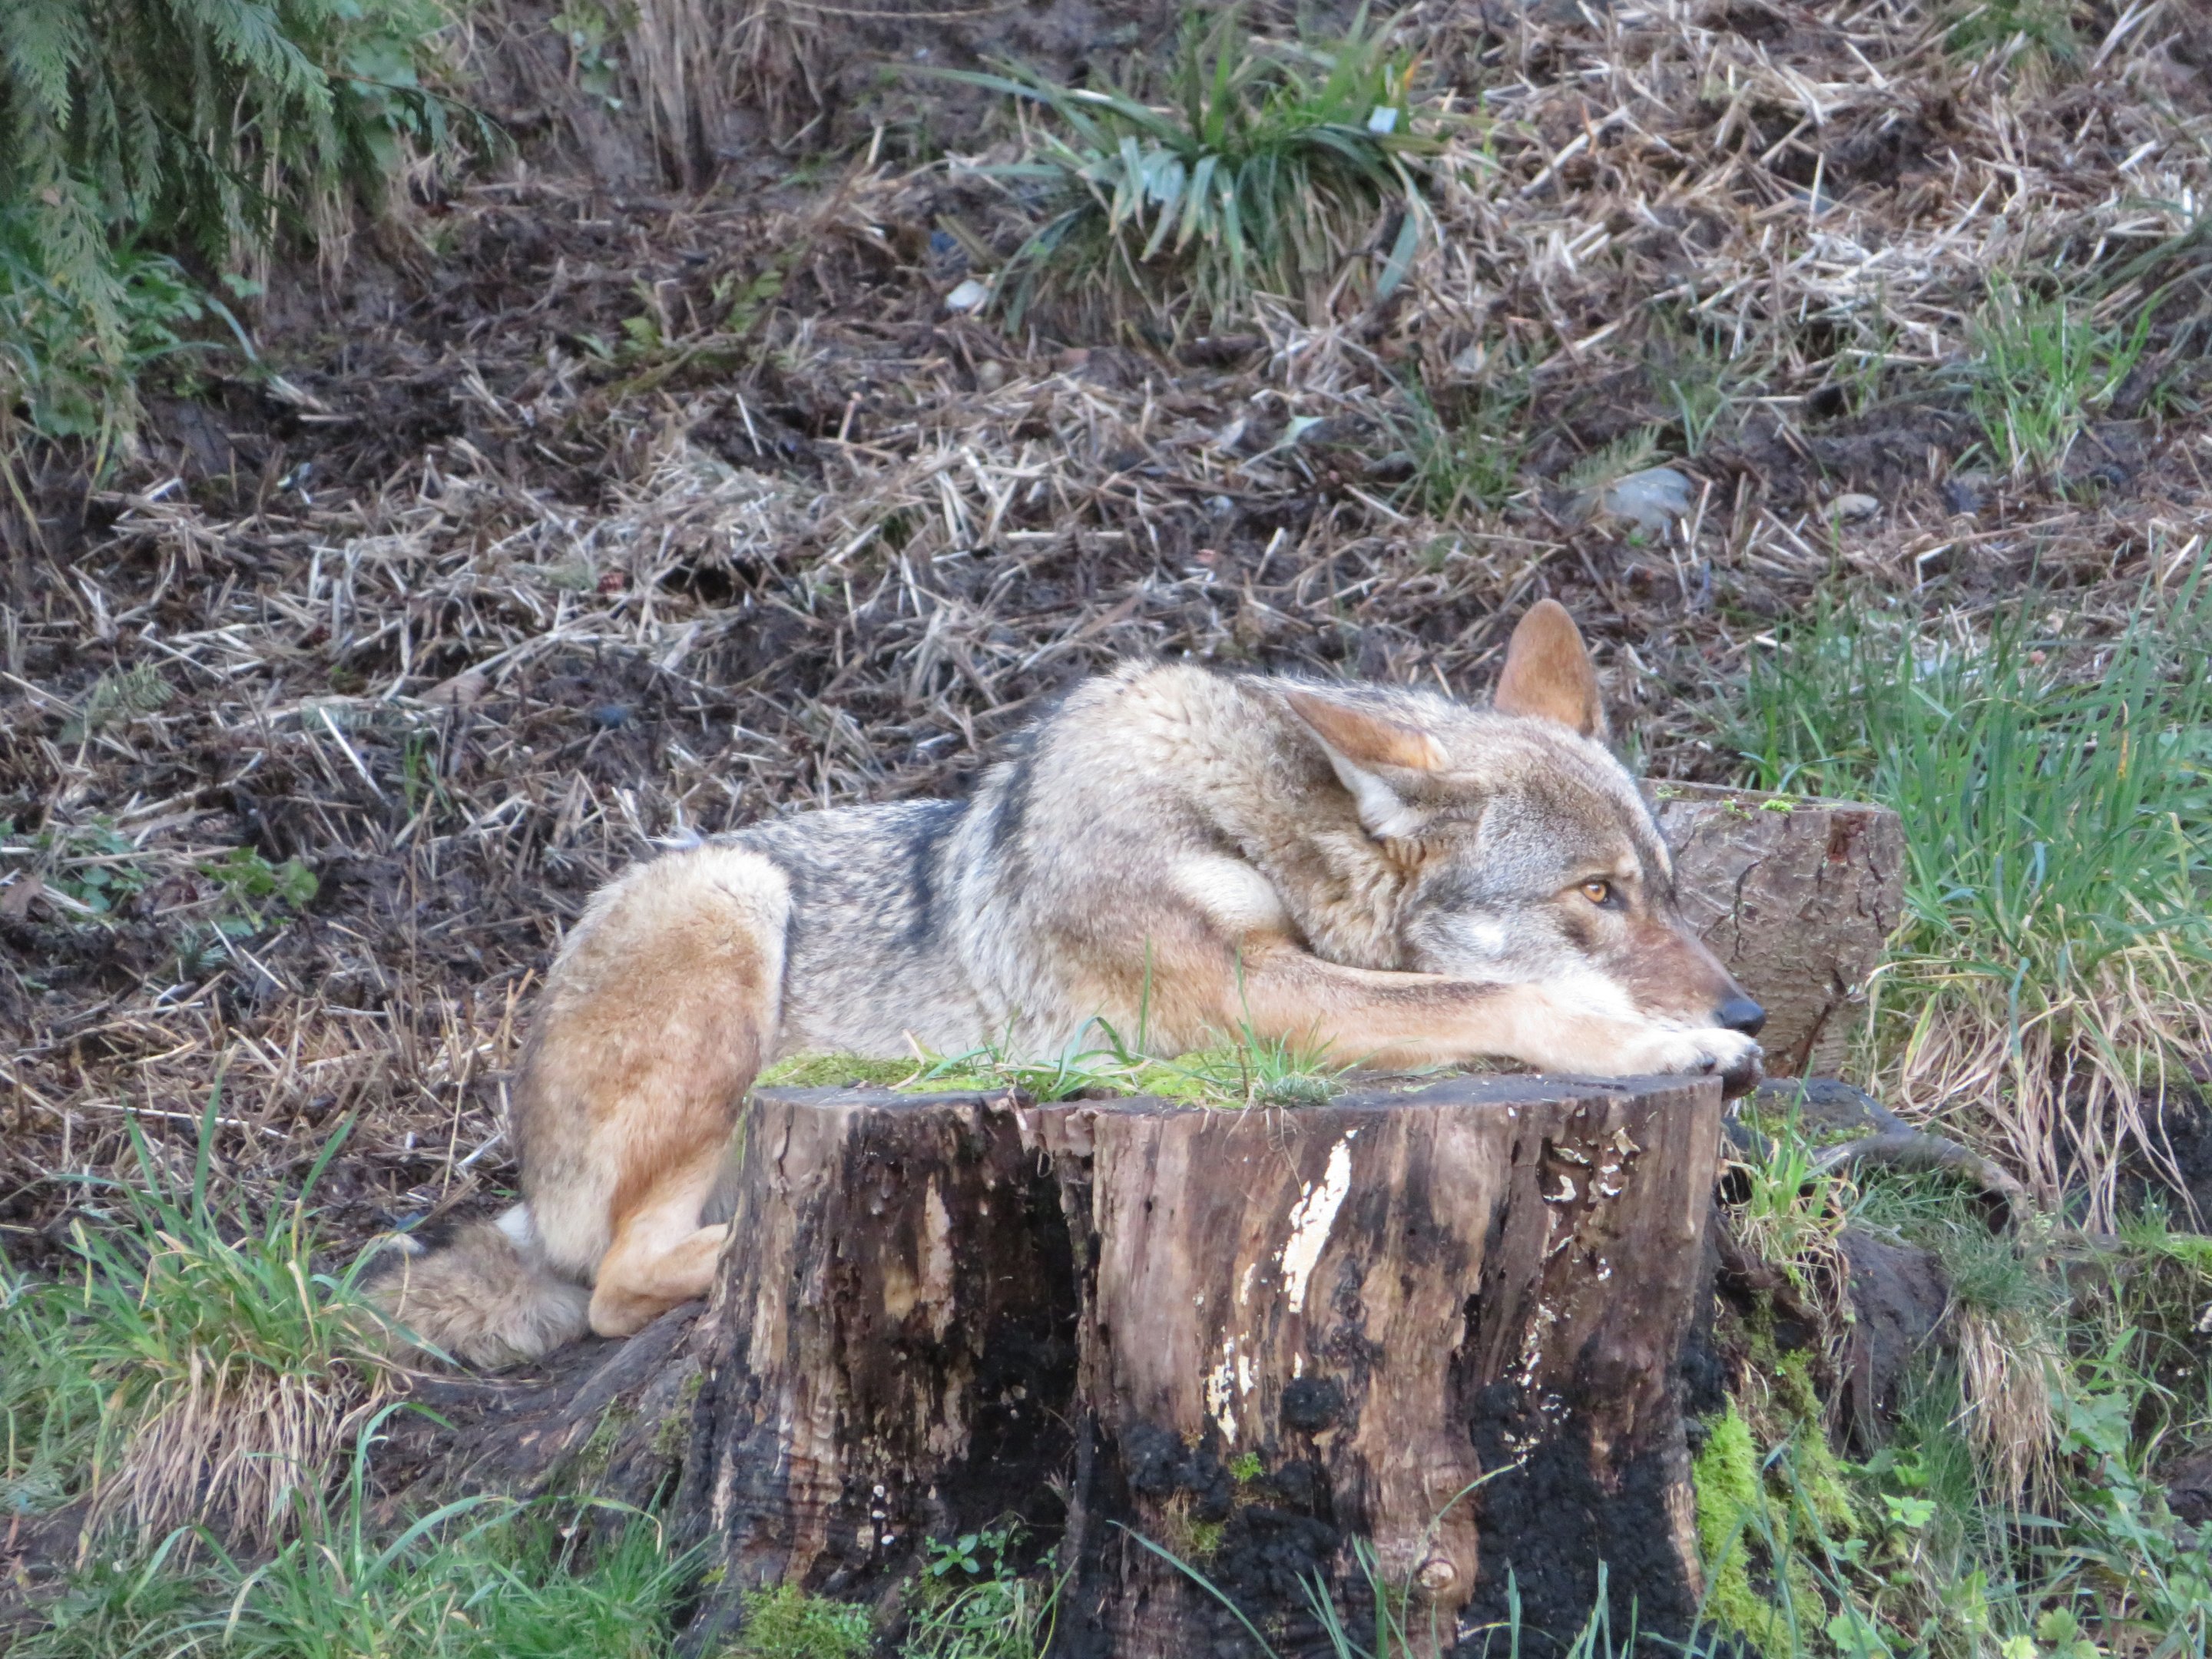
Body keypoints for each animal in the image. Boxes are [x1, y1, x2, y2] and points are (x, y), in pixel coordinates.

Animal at [378, 601, 1764, 1366]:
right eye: (1598, 895)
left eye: (1666, 887)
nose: (1747, 1010)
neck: (1248, 818)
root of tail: (525, 1168)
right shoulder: (1238, 1005)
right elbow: (1500, 1003)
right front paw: (1660, 1045)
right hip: (729, 901)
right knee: (621, 1282)